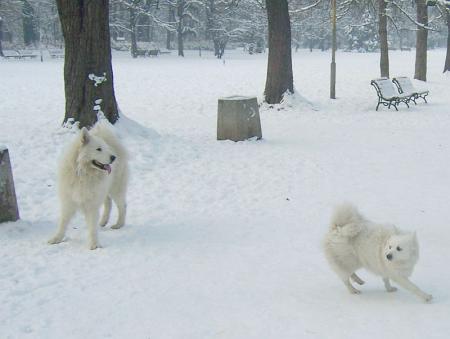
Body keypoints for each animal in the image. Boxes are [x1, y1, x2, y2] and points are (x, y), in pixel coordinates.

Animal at [48, 121, 128, 250]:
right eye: (98, 149)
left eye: (104, 148)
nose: (113, 158)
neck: (82, 174)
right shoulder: (68, 200)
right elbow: (63, 222)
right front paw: (56, 239)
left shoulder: (92, 203)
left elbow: (92, 227)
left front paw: (94, 244)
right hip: (104, 189)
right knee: (108, 203)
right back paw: (103, 222)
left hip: (116, 189)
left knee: (123, 206)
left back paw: (119, 224)